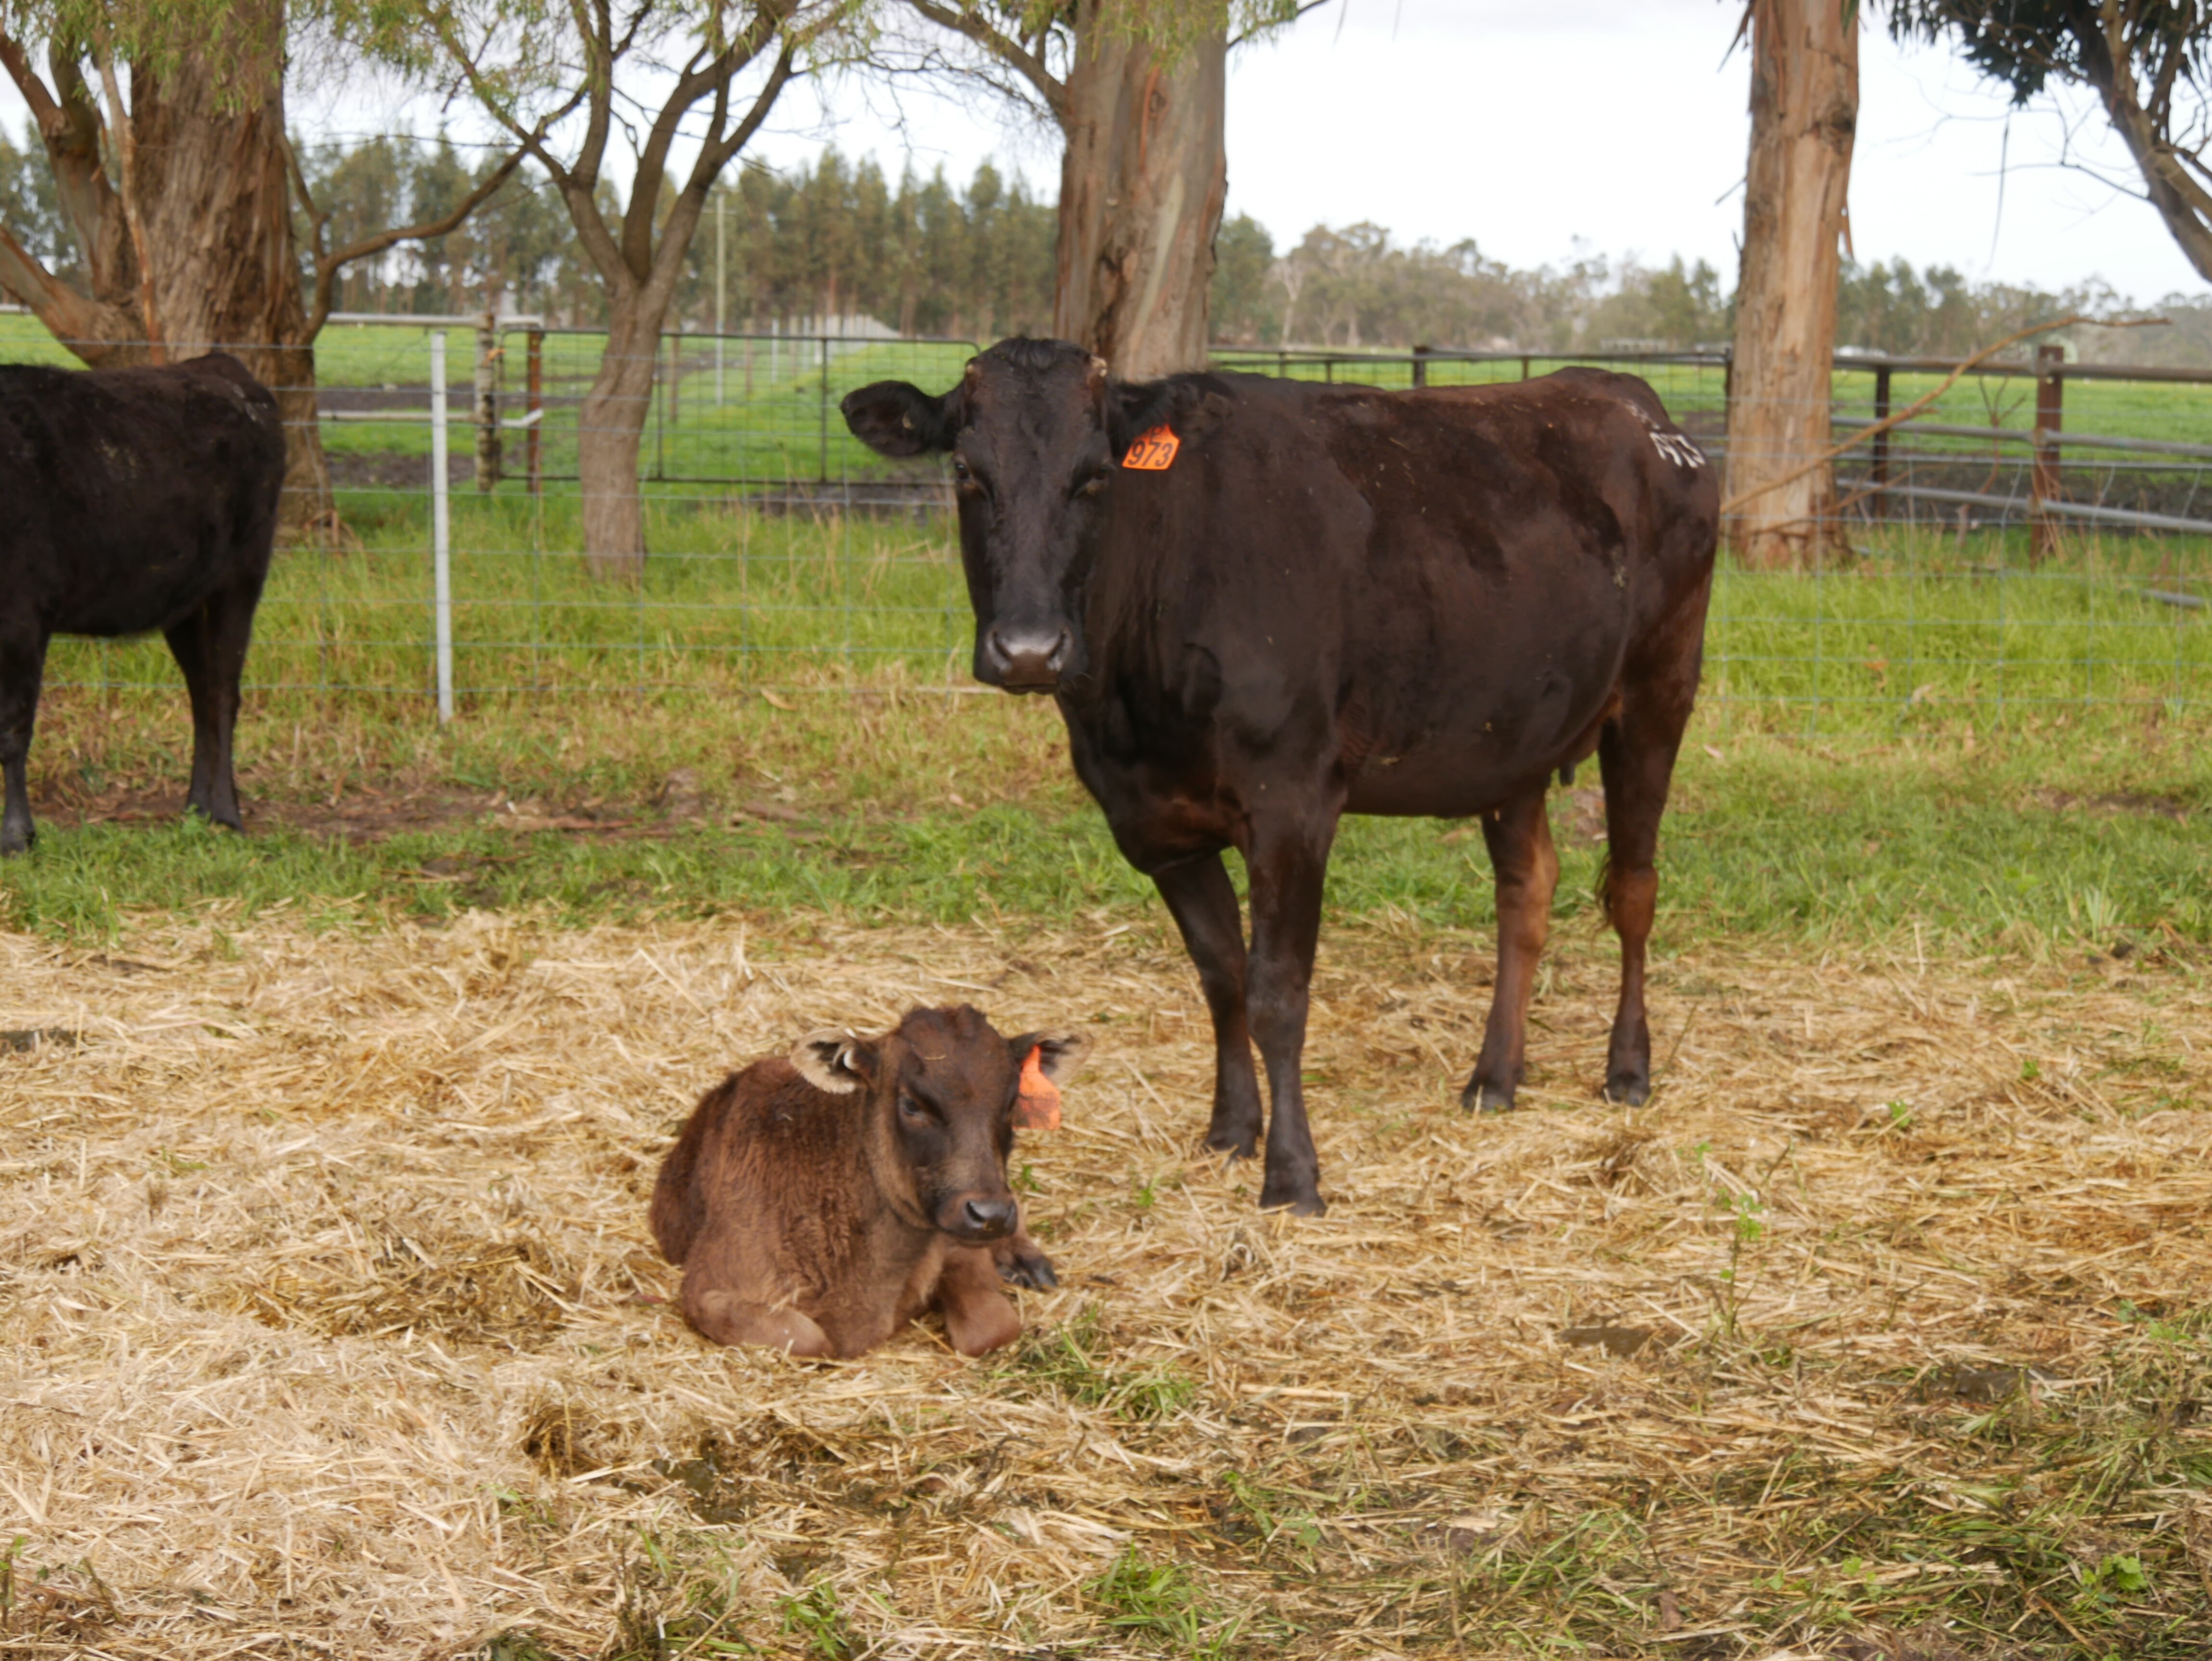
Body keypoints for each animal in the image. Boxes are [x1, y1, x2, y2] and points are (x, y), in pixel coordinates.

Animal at [1, 353, 286, 857]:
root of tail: (220, 366)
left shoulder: (23, 618)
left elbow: (13, 729)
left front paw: (17, 836)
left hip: (243, 576)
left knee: (223, 693)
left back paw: (227, 813)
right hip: (185, 602)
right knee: (201, 693)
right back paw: (196, 807)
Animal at [649, 1005, 1089, 1359]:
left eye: (1013, 1104)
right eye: (911, 1103)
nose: (991, 1215)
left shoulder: (958, 1245)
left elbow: (992, 1328)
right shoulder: (707, 1290)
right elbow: (811, 1340)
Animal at [842, 339, 1718, 1217]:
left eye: (1093, 475)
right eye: (965, 469)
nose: (1028, 650)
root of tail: (1629, 397)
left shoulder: (1292, 804)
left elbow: (1277, 993)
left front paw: (1294, 1175)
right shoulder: (1154, 821)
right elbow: (1222, 978)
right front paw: (1231, 1130)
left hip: (1658, 690)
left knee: (1633, 889)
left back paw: (1627, 1068)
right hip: (1515, 737)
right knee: (1527, 890)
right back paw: (1496, 1074)